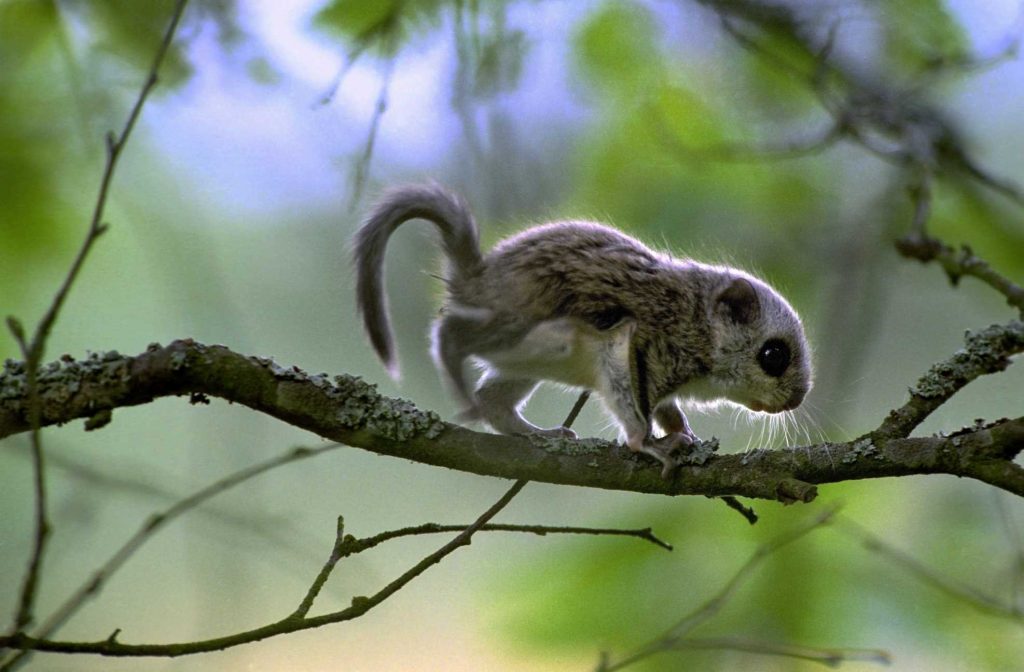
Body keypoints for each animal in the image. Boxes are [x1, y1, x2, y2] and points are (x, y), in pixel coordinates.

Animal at [353, 183, 812, 476]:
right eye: (774, 356)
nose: (796, 400)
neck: (695, 320)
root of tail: (474, 277)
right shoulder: (628, 345)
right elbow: (635, 413)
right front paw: (651, 444)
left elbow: (666, 409)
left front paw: (683, 431)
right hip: (526, 329)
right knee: (450, 334)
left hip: (526, 359)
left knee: (493, 400)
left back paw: (536, 434)